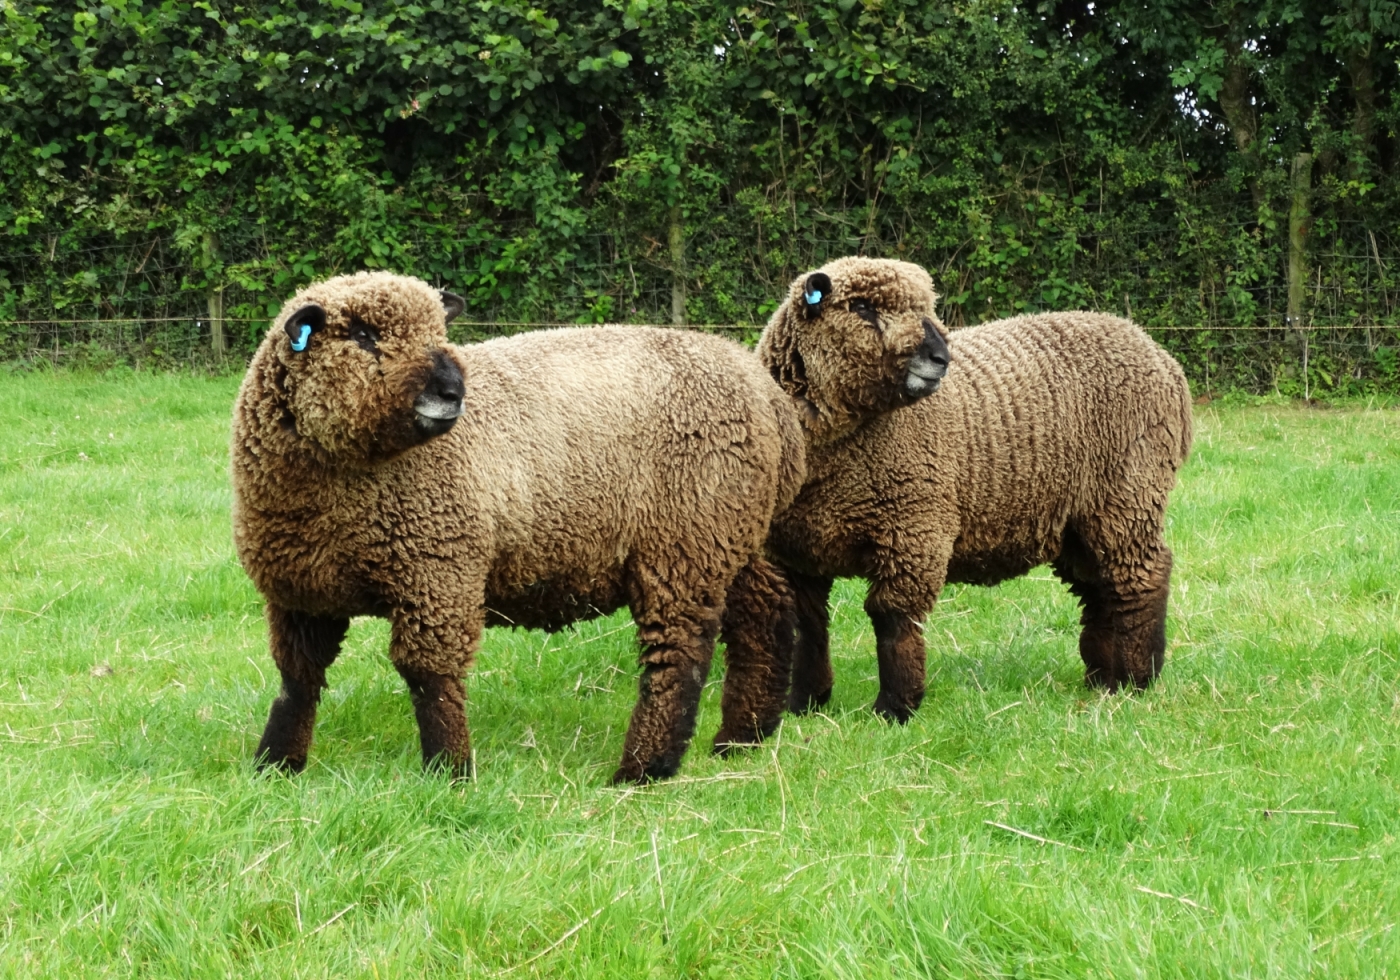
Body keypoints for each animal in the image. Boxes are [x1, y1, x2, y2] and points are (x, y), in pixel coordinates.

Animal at [233, 271, 806, 784]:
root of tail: (768, 397)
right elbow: (297, 680)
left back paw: (645, 768)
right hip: (727, 538)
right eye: (362, 335)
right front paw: (275, 766)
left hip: (682, 542)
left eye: (440, 330)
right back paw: (743, 737)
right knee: (766, 611)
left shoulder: (439, 570)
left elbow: (429, 677)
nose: (452, 391)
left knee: (679, 656)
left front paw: (449, 773)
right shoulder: (300, 593)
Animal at [756, 256, 1192, 722]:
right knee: (1099, 588)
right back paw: (1101, 678)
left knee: (1141, 577)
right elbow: (806, 627)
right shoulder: (793, 551)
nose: (940, 358)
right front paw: (803, 704)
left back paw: (1135, 679)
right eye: (860, 307)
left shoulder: (914, 529)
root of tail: (1163, 359)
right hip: (1079, 515)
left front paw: (895, 709)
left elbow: (893, 620)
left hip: (1127, 493)